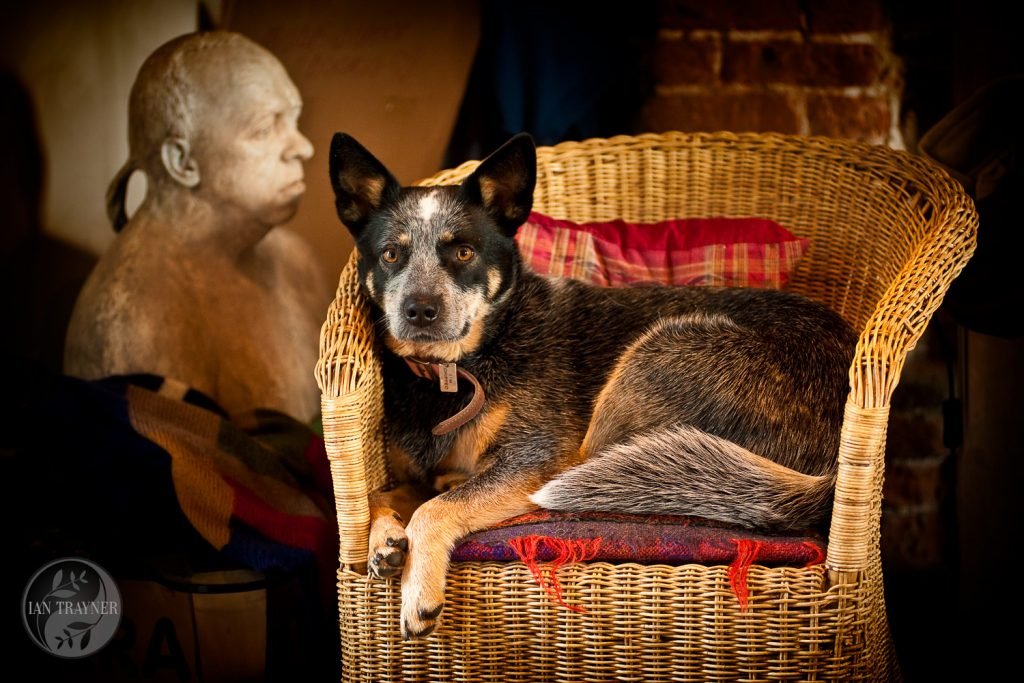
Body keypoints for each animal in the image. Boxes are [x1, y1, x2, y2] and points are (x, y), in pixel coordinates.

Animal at [327, 133, 856, 643]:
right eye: (391, 254)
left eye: (463, 252)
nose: (419, 309)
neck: (452, 372)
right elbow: (378, 494)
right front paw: (384, 540)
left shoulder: (537, 456)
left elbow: (433, 511)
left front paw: (417, 589)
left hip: (656, 352)